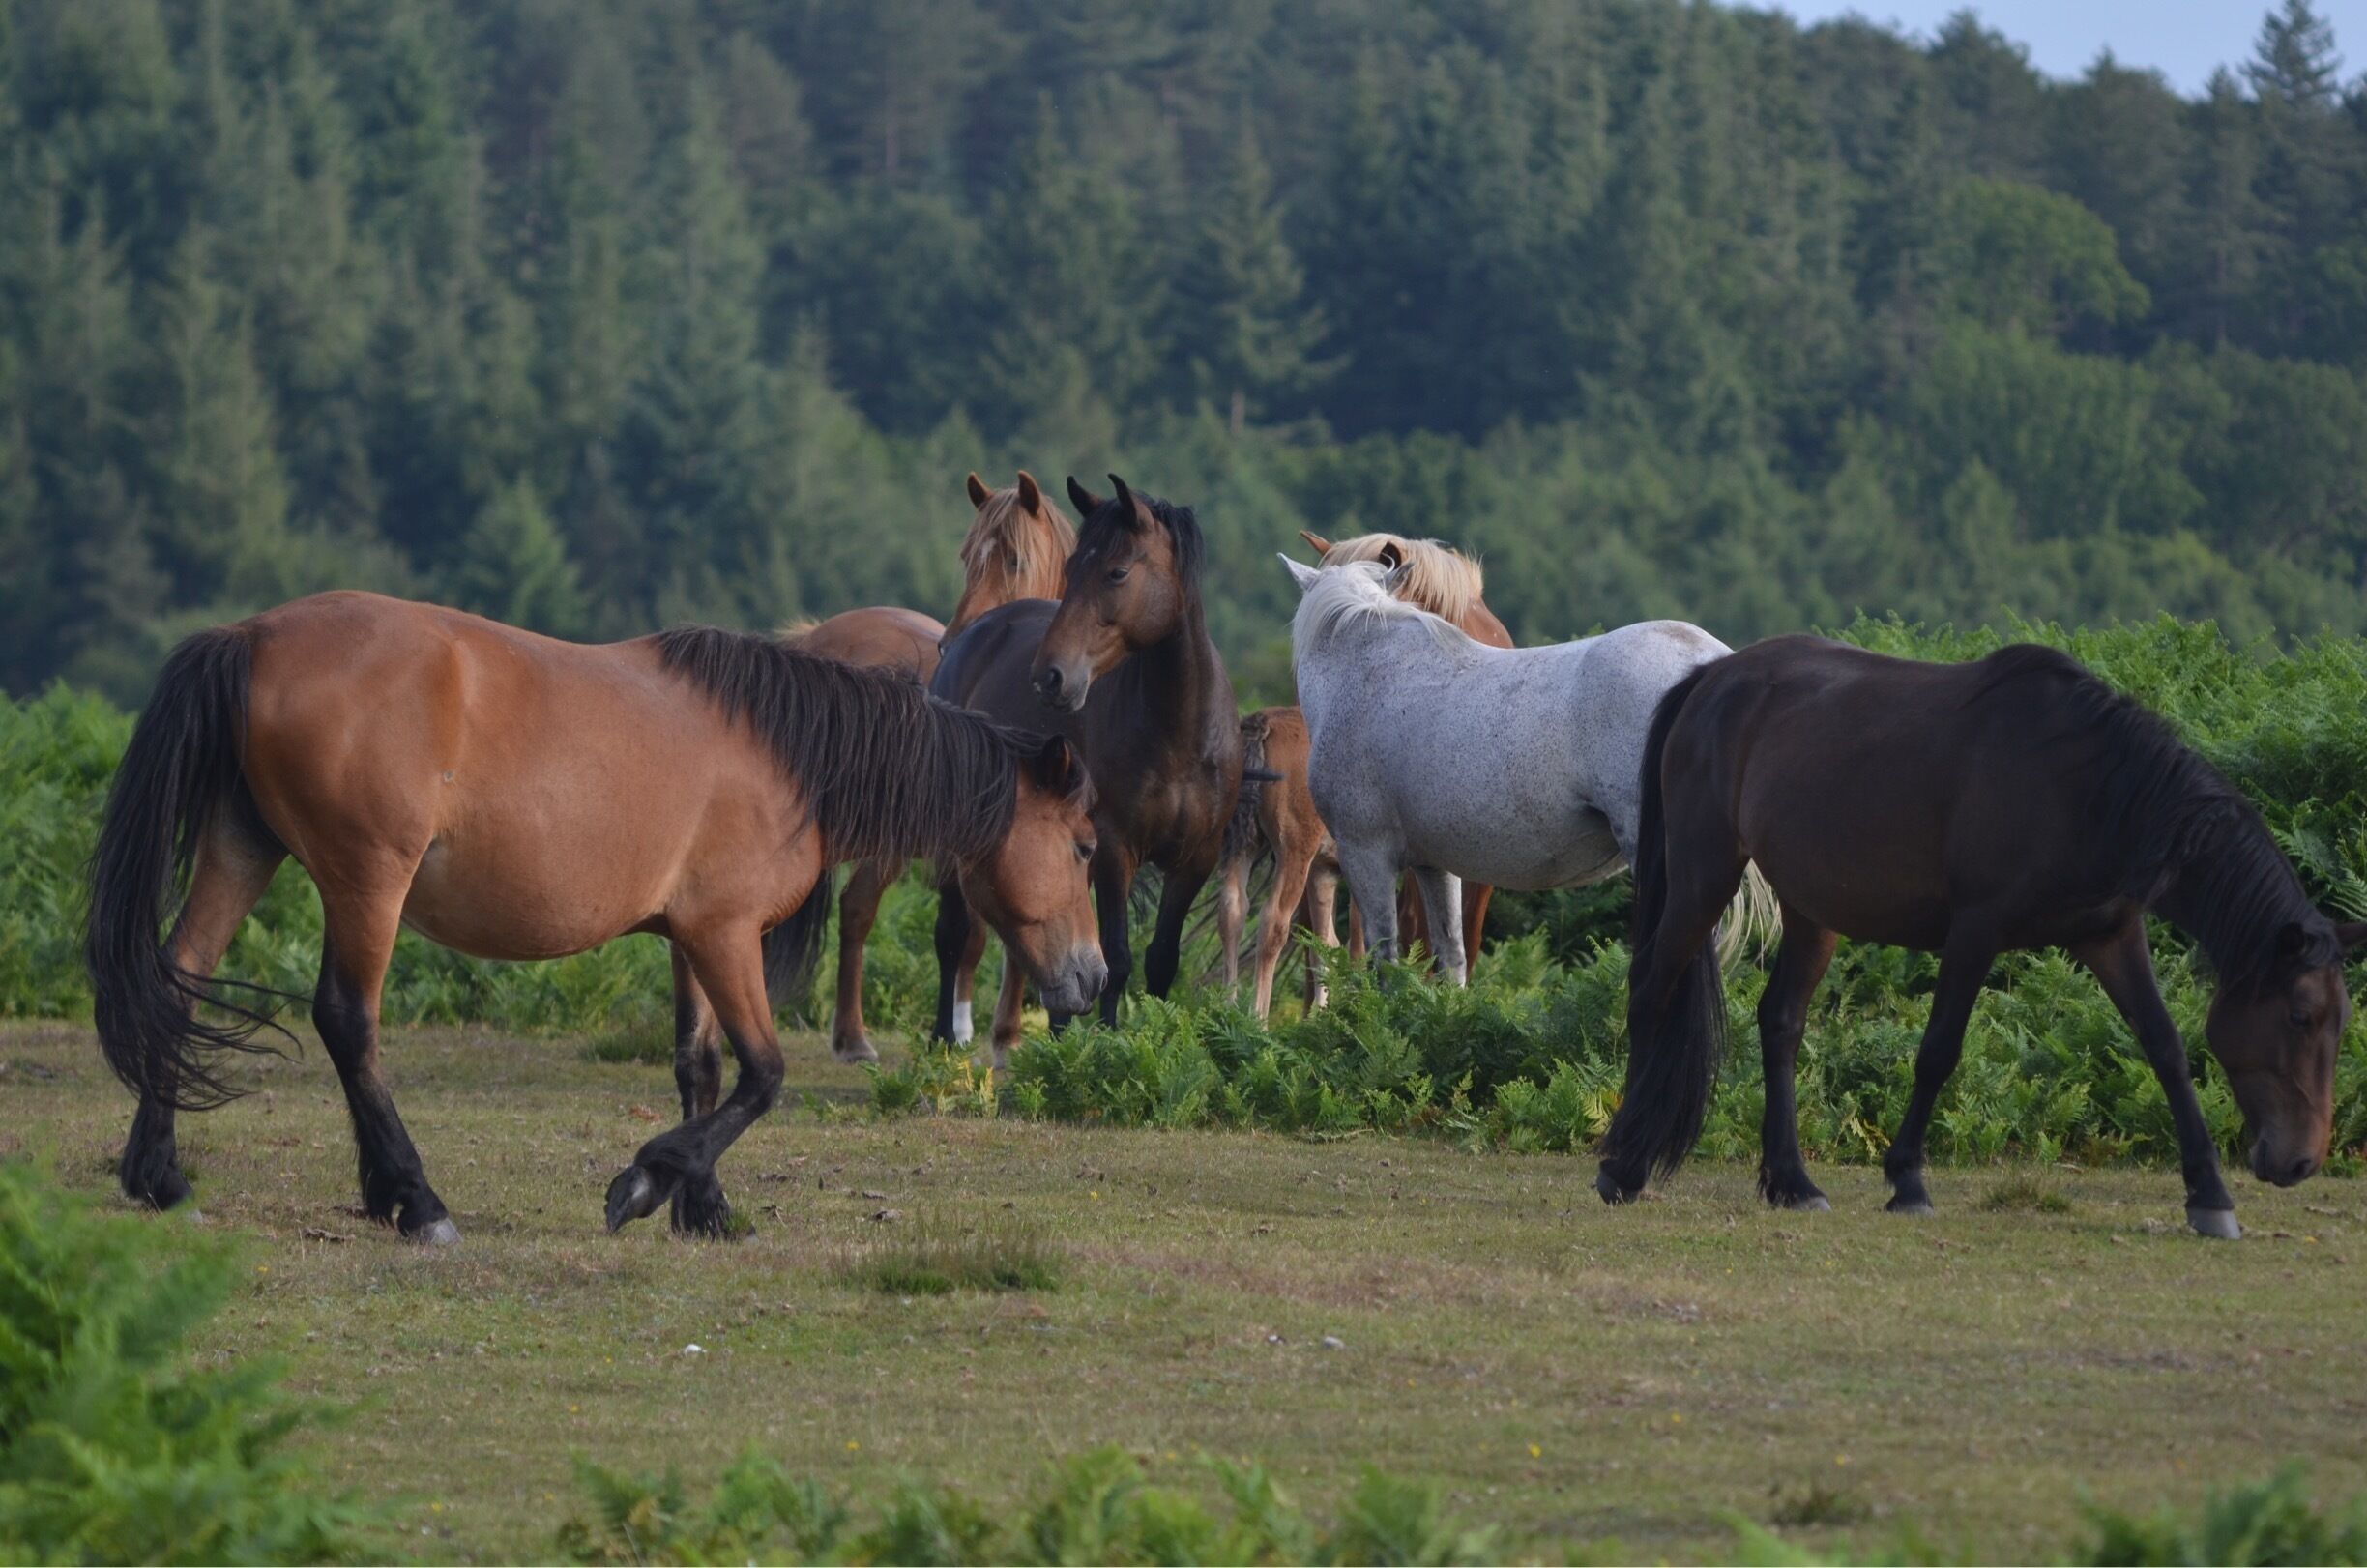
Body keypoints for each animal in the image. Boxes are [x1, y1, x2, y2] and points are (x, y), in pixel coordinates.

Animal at [85, 592, 1102, 1241]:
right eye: (1087, 847)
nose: (1092, 979)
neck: (788, 752)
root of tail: (253, 635)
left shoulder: (692, 939)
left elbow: (700, 1068)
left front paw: (703, 1205)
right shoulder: (726, 935)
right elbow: (763, 1076)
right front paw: (646, 1182)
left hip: (243, 848)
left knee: (178, 982)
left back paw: (161, 1176)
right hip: (366, 881)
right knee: (348, 1022)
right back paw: (418, 1202)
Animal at [932, 475, 1245, 1061]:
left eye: (1117, 572)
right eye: (1072, 567)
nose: (1051, 677)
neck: (1179, 734)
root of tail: (970, 636)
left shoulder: (1195, 859)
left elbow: (1160, 961)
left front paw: (1151, 1040)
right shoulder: (1113, 850)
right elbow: (1116, 958)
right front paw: (1106, 1044)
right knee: (954, 933)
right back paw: (946, 1037)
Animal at [1216, 707, 1342, 1019]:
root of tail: (1262, 725)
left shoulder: (1324, 871)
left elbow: (1324, 943)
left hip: (1241, 843)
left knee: (1232, 909)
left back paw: (1227, 1009)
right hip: (1293, 850)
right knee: (1273, 921)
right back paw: (1257, 1018)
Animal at [1596, 636, 2365, 1240]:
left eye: (2338, 1021)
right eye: (2300, 1016)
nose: (2300, 1162)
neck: (2084, 784)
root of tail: (1709, 681)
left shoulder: (2112, 936)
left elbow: (2167, 1049)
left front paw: (2210, 1196)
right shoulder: (1975, 931)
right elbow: (1939, 1052)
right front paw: (1907, 1180)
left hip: (1813, 909)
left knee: (1780, 1021)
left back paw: (1792, 1182)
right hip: (1704, 876)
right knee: (1650, 993)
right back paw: (1621, 1167)